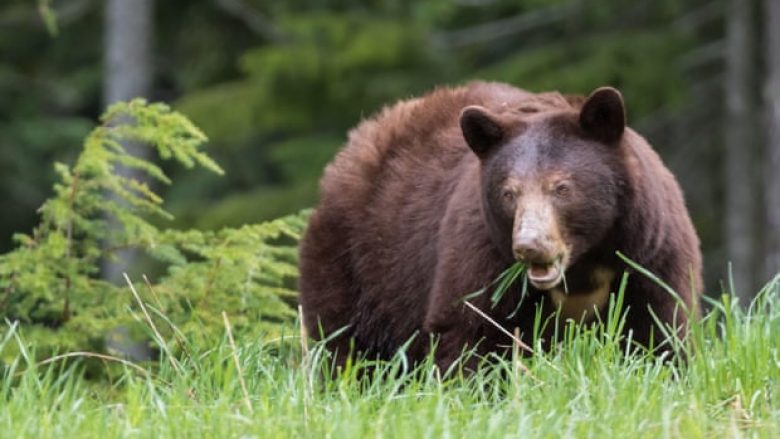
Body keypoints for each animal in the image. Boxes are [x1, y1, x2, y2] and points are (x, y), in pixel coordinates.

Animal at [298, 82, 700, 372]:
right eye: (509, 192)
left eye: (562, 187)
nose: (530, 244)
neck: (582, 265)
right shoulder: (483, 250)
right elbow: (470, 327)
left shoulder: (650, 253)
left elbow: (658, 329)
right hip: (358, 259)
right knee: (345, 339)